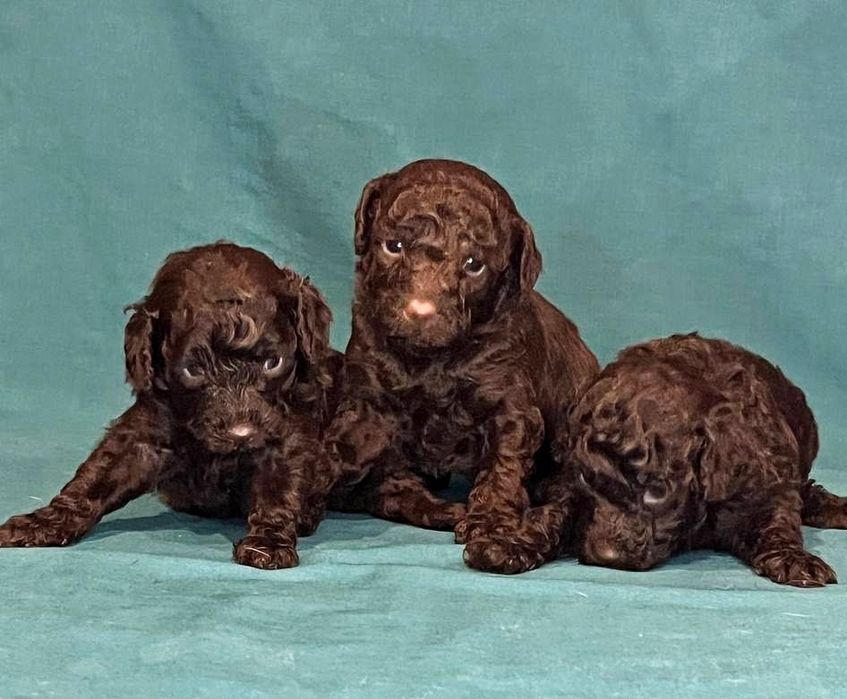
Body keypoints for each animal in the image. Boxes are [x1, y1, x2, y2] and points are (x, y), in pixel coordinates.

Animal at [0, 242, 340, 569]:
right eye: (193, 370)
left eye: (273, 363)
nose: (242, 432)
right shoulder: (144, 431)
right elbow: (94, 479)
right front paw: (41, 523)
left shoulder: (286, 432)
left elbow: (277, 488)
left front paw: (267, 543)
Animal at [327, 159, 599, 573]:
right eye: (394, 246)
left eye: (474, 265)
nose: (420, 312)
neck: (432, 358)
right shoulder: (367, 399)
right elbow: (337, 447)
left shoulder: (511, 407)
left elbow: (502, 468)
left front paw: (490, 523)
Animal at [557, 333, 847, 587]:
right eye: (585, 478)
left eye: (656, 493)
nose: (604, 556)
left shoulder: (768, 484)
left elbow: (776, 522)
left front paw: (795, 560)